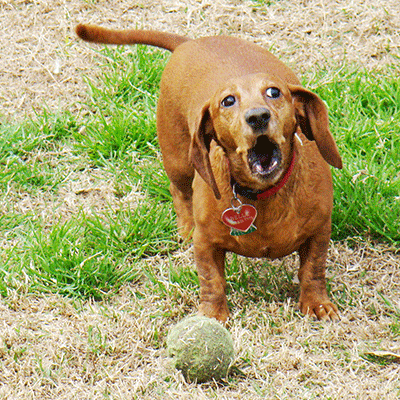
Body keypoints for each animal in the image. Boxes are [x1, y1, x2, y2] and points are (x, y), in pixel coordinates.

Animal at [76, 24, 342, 322]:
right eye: (228, 101)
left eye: (274, 92)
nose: (258, 116)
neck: (261, 193)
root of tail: (189, 43)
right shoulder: (204, 243)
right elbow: (211, 280)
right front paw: (212, 315)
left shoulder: (320, 231)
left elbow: (313, 269)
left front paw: (317, 304)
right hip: (178, 161)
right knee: (179, 191)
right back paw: (185, 227)